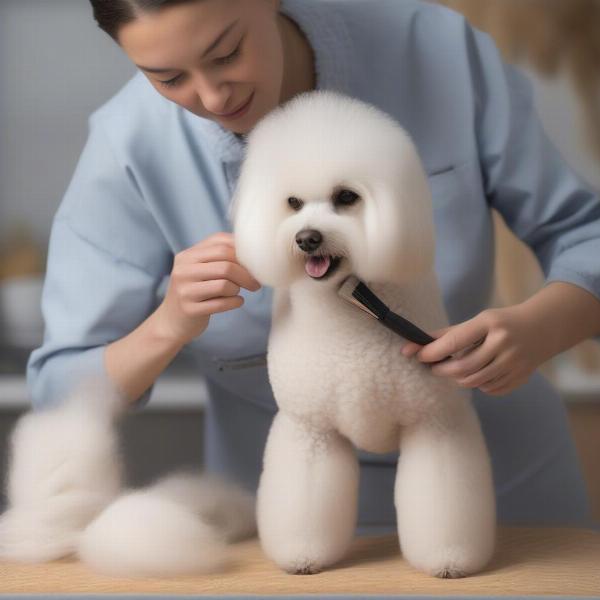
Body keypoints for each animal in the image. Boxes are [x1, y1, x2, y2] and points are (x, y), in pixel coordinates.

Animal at [231, 89, 496, 576]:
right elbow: (304, 496)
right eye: (293, 202)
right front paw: (303, 554)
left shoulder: (436, 423)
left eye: (346, 197)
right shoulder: (311, 429)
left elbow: (443, 495)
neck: (351, 311)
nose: (307, 238)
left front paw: (449, 559)